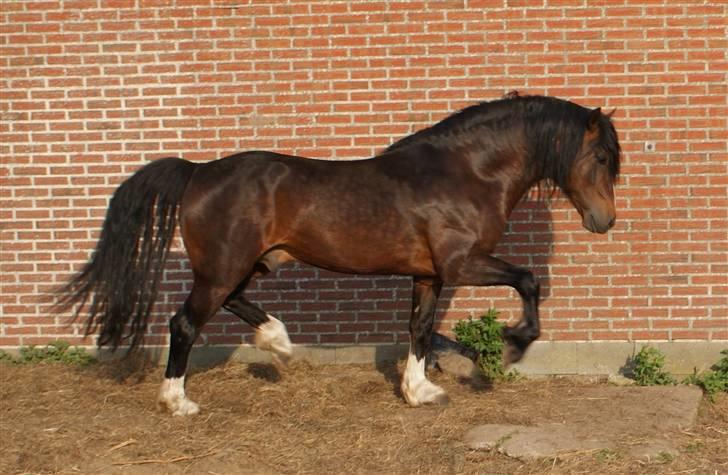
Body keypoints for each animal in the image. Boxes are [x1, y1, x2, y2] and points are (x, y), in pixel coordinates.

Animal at [57, 93, 620, 416]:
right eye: (599, 156)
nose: (604, 221)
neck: (465, 172)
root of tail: (197, 172)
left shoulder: (429, 275)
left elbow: (419, 328)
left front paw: (420, 392)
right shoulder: (463, 264)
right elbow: (527, 279)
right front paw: (516, 343)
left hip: (245, 264)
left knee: (233, 304)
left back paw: (279, 342)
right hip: (221, 269)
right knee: (185, 323)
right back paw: (178, 401)